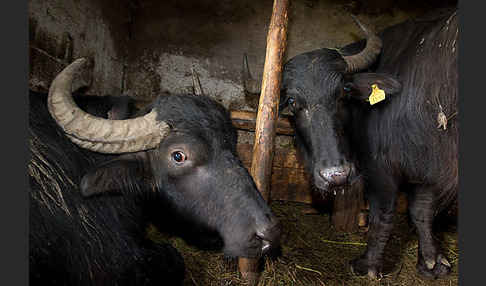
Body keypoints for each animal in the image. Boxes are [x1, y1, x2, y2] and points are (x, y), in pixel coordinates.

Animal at [247, 7, 460, 280]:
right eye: (293, 102)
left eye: (343, 92)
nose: (335, 176)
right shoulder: (428, 169)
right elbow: (422, 210)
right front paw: (432, 262)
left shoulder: (382, 169)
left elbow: (383, 215)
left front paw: (367, 265)